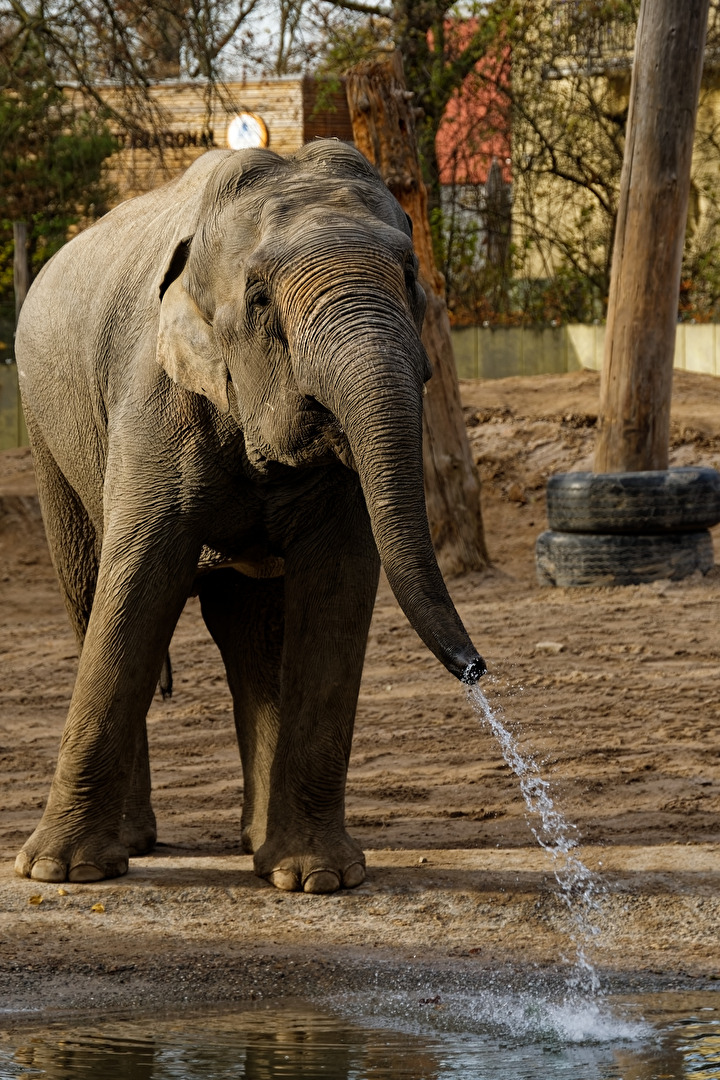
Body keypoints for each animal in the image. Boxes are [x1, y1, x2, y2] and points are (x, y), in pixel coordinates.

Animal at [14, 139, 485, 893]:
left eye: (411, 275)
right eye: (261, 298)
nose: (476, 669)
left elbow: (338, 586)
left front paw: (318, 880)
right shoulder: (153, 395)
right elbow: (139, 580)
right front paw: (57, 873)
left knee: (252, 634)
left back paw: (259, 846)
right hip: (47, 434)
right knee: (90, 596)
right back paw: (132, 845)